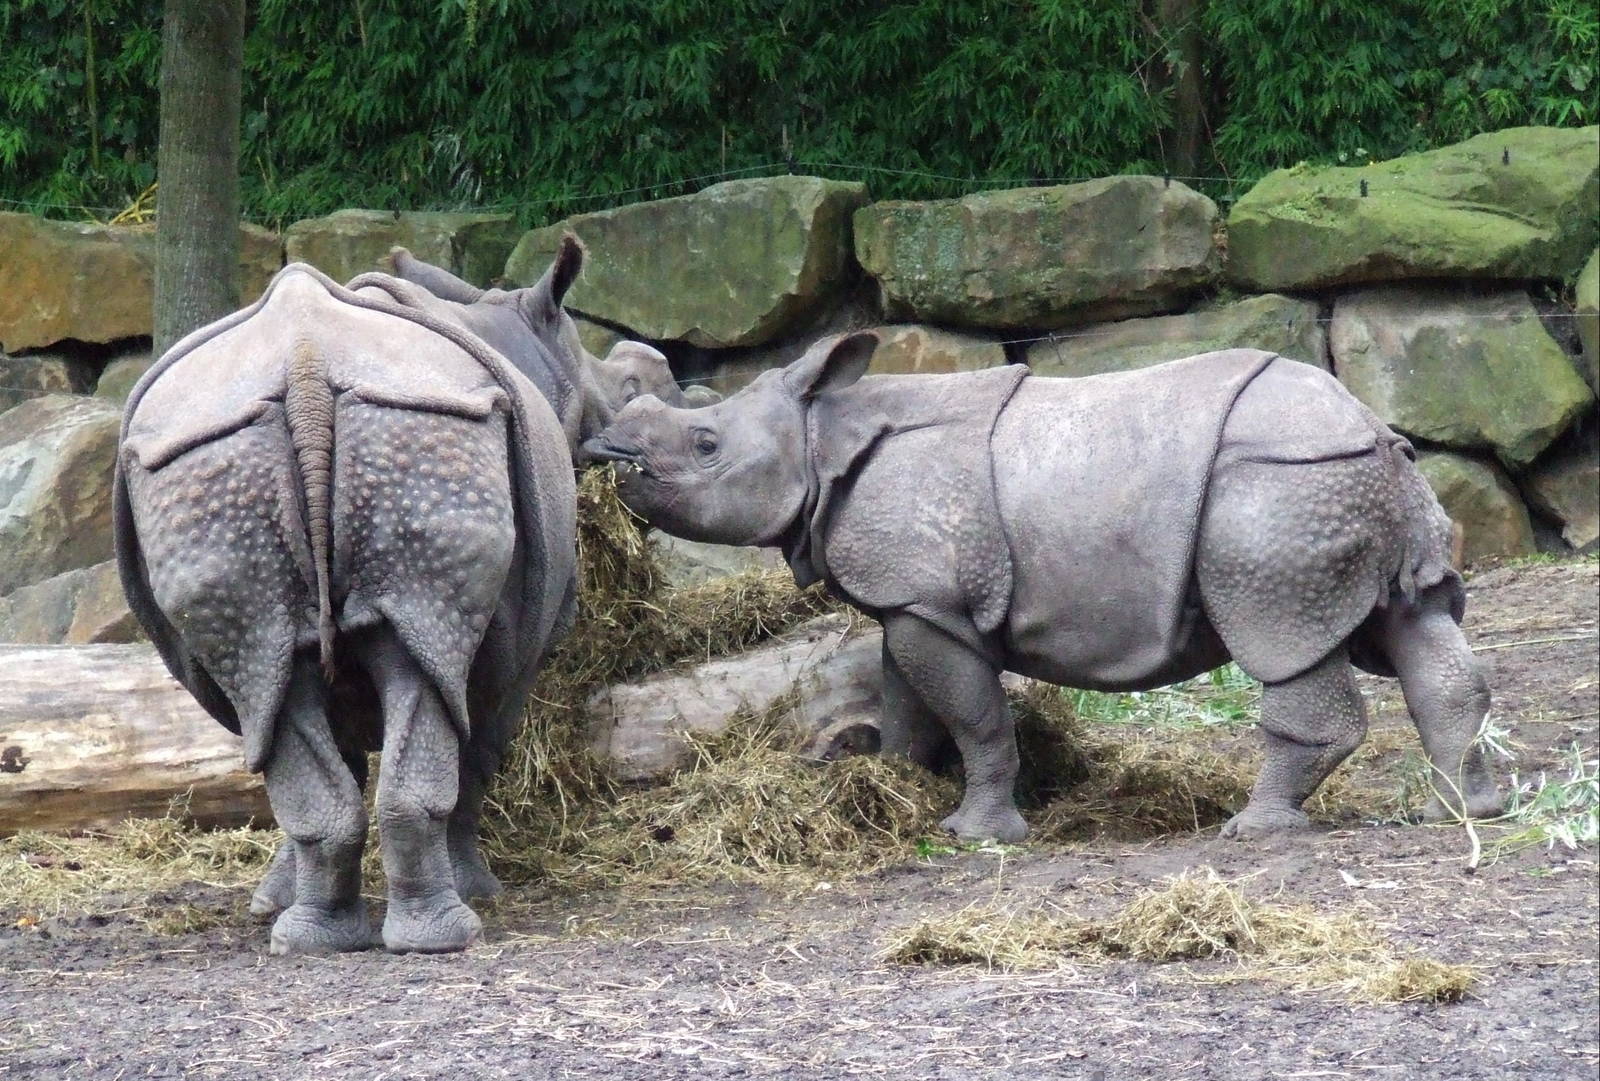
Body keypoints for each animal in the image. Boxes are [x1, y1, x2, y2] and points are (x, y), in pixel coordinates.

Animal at [115, 239, 587, 954]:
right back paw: (446, 932)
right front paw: (482, 888)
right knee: (413, 685)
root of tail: (305, 362)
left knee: (280, 677)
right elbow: (481, 747)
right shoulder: (533, 643)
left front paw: (271, 903)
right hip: (415, 432)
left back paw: (317, 942)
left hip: (214, 460)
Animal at [585, 334, 1503, 843]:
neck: (820, 437)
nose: (607, 451)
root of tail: (1369, 426)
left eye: (705, 444)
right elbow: (906, 700)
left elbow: (974, 714)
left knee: (1283, 641)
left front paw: (976, 835)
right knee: (1418, 626)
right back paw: (1460, 813)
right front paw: (891, 781)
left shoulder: (931, 602)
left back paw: (1254, 829)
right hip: (1352, 479)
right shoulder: (912, 598)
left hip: (1280, 491)